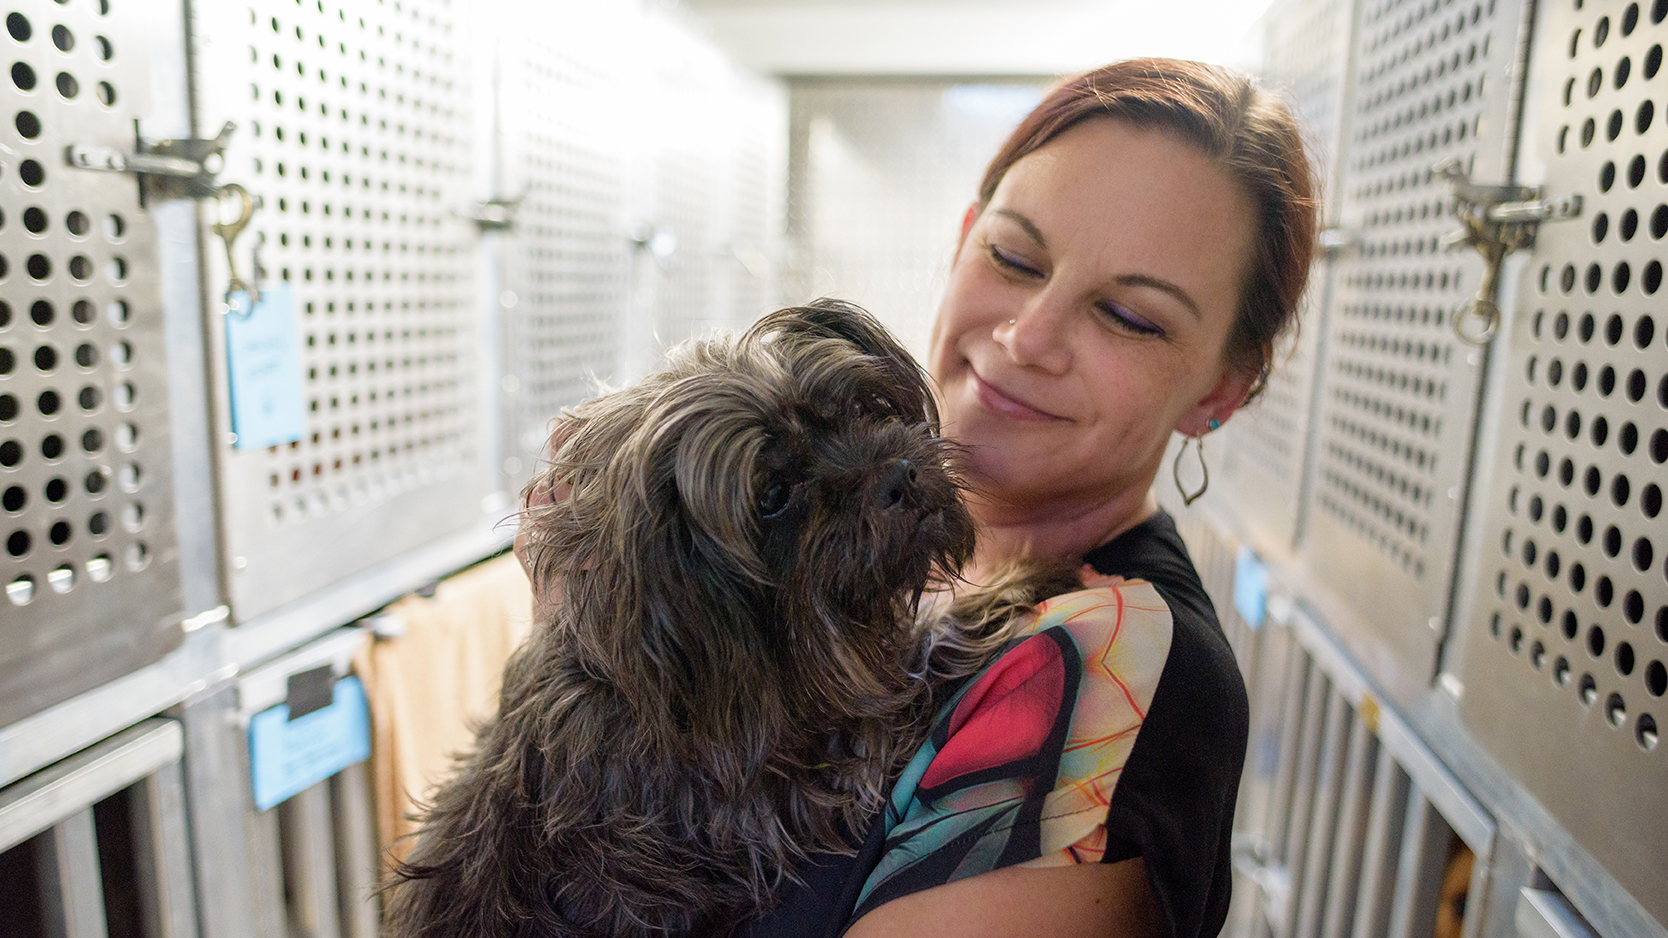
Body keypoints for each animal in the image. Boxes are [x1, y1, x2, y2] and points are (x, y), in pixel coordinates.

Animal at [383, 300, 1074, 934]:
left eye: (858, 409)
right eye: (772, 497)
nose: (898, 476)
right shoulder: (800, 777)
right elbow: (923, 652)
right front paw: (1020, 578)